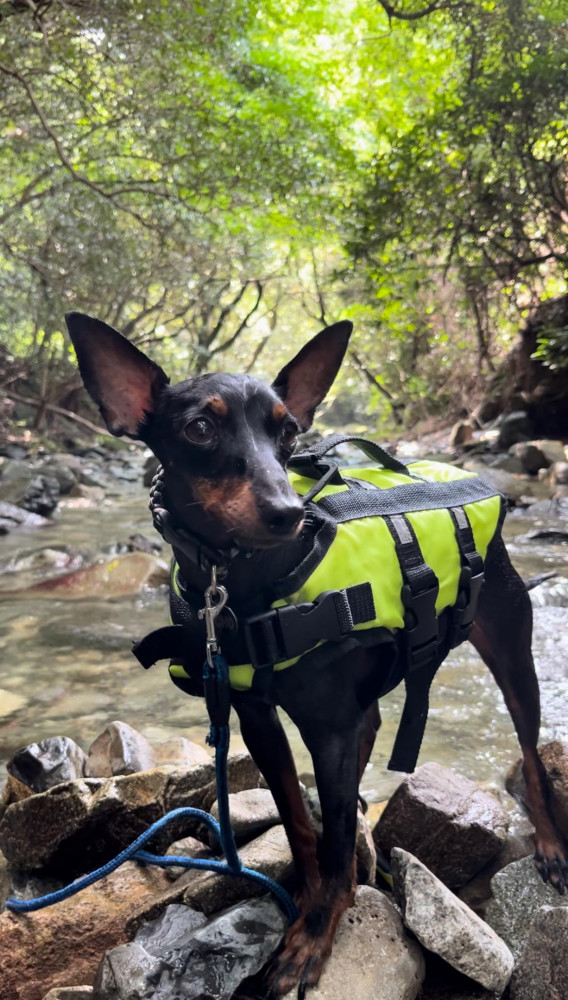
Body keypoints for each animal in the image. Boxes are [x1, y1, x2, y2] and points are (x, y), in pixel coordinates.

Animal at [66, 310, 564, 992]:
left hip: (513, 656)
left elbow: (331, 839)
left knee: (532, 759)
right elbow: (300, 822)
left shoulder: (326, 729)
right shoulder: (257, 718)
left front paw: (315, 935)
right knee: (372, 728)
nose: (286, 512)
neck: (244, 583)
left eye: (287, 431)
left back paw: (550, 848)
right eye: (199, 428)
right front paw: (306, 894)